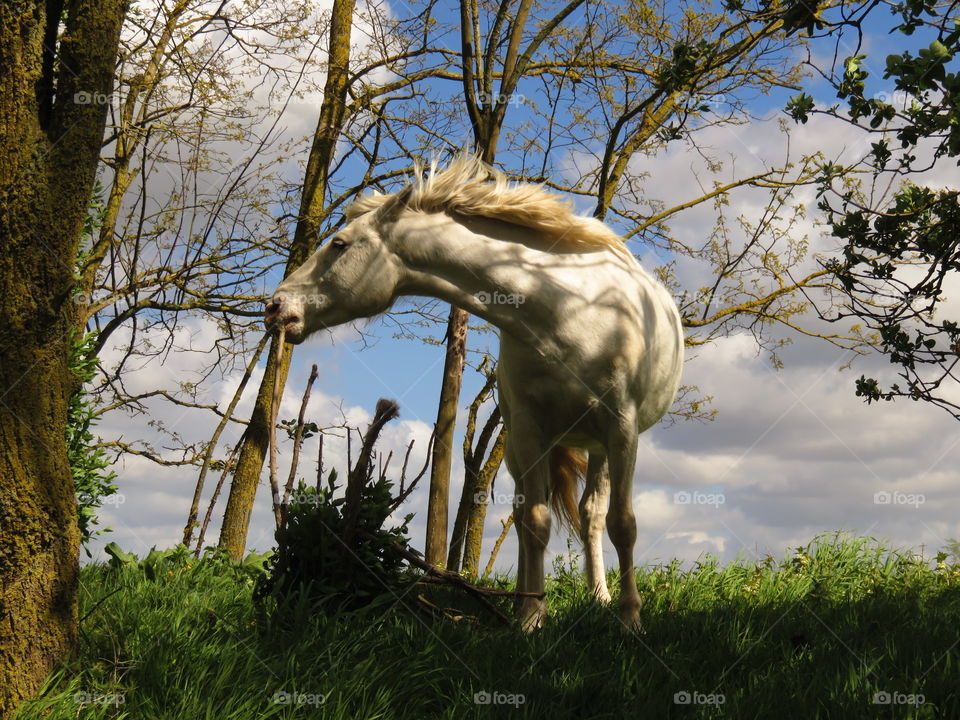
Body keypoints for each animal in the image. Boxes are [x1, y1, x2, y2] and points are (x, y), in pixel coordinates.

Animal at [265, 155, 684, 630]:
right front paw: (531, 616)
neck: (570, 312)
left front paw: (631, 621)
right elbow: (535, 521)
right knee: (528, 517)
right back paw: (526, 598)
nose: (276, 306)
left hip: (600, 446)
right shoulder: (527, 430)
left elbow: (623, 524)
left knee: (594, 515)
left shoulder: (622, 430)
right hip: (526, 447)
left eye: (339, 244)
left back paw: (601, 598)